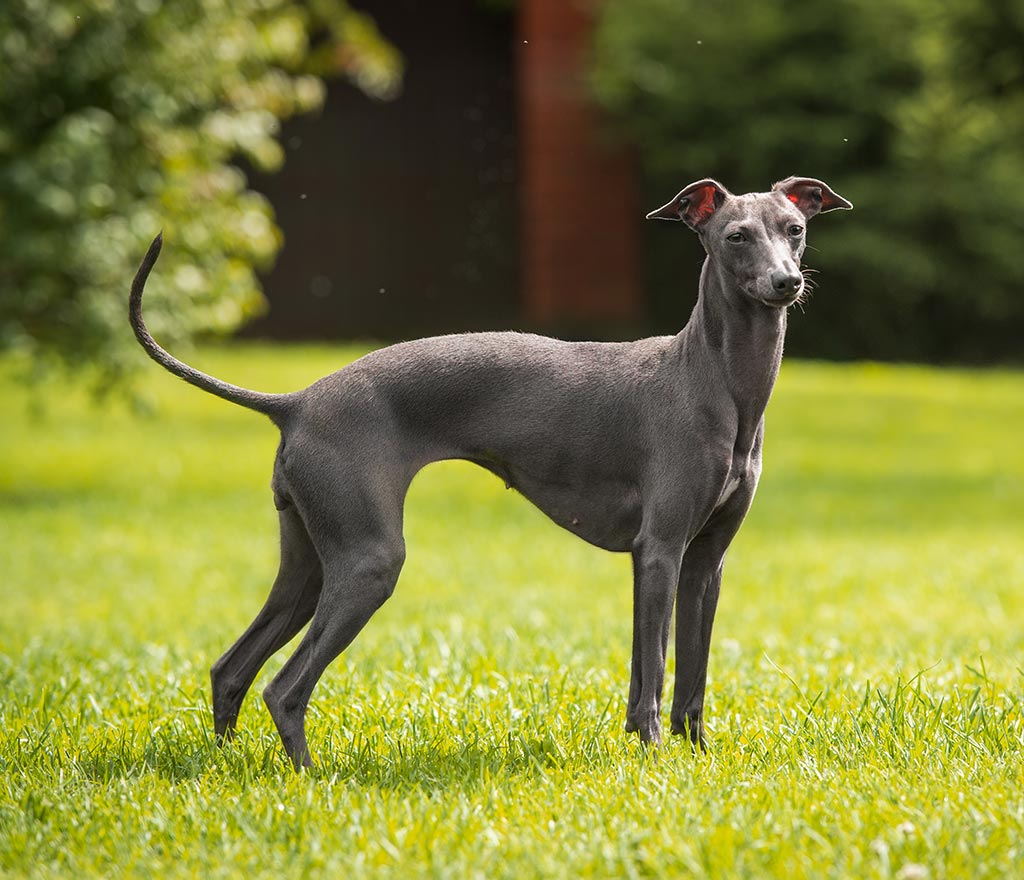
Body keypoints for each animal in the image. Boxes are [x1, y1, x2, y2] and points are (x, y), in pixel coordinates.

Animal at [130, 175, 847, 766]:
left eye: (794, 229)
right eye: (735, 236)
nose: (787, 283)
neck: (713, 381)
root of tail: (297, 401)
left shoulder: (705, 563)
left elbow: (687, 677)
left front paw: (696, 756)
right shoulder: (660, 551)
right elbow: (654, 671)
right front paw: (651, 757)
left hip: (309, 562)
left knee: (232, 668)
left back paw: (227, 766)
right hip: (368, 562)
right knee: (283, 687)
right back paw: (308, 777)